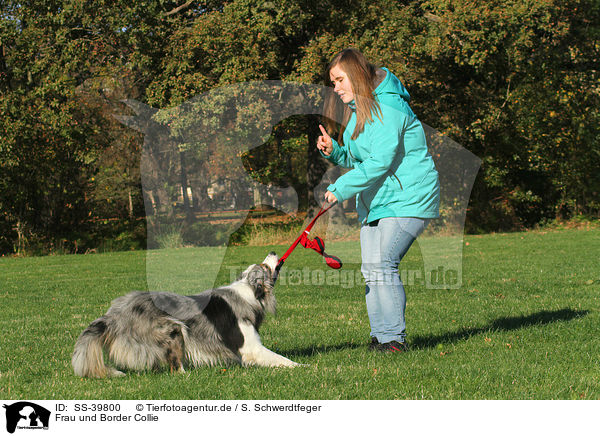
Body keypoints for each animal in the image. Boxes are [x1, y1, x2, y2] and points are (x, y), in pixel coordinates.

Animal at [74, 252, 298, 378]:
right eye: (265, 267)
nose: (273, 251)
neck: (249, 291)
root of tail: (114, 314)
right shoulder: (251, 347)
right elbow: (280, 359)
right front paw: (300, 366)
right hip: (172, 328)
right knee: (174, 366)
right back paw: (186, 375)